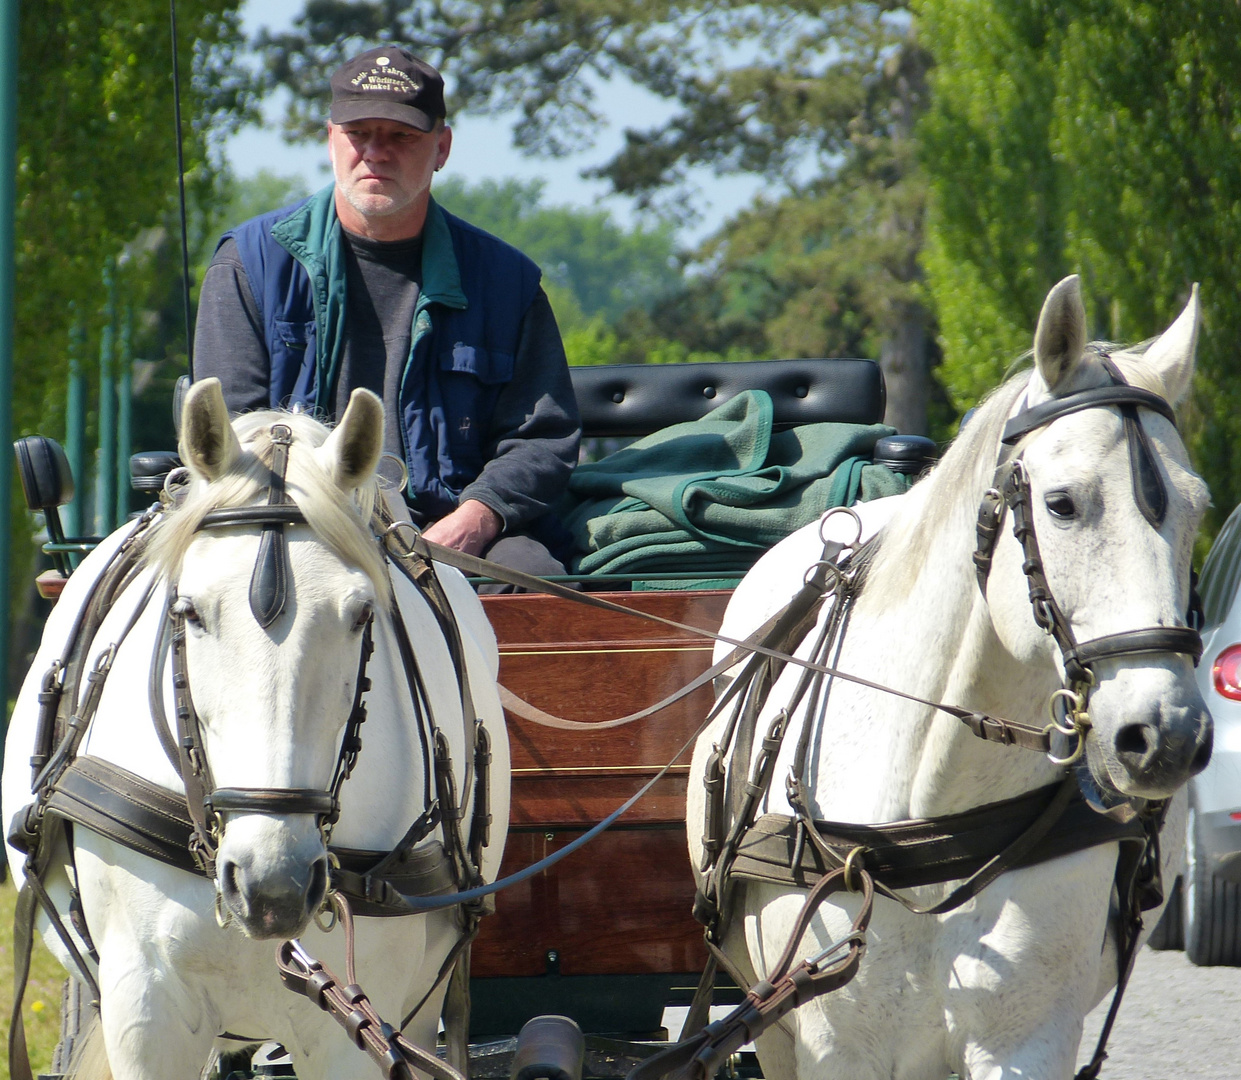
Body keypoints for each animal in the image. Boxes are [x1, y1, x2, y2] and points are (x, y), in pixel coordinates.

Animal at [694, 279, 1216, 1080]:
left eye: (1198, 509)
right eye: (1062, 504)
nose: (1167, 735)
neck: (933, 805)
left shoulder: (1021, 1043)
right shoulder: (832, 1046)